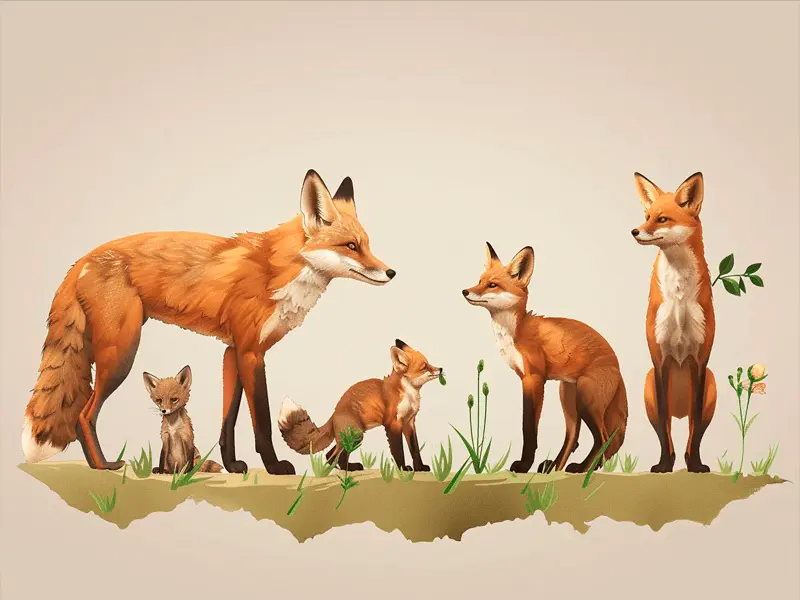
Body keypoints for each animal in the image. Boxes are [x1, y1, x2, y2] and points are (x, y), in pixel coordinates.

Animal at [21, 169, 395, 475]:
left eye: (367, 245)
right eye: (351, 246)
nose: (391, 272)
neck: (278, 272)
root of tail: (82, 259)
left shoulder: (233, 351)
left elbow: (228, 419)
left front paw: (231, 465)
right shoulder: (250, 352)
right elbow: (261, 421)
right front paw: (274, 467)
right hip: (121, 353)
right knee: (84, 415)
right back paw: (102, 466)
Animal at [277, 339, 443, 472]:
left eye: (429, 363)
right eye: (424, 367)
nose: (441, 369)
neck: (409, 394)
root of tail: (334, 413)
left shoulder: (409, 423)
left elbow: (415, 449)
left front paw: (420, 468)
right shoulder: (393, 423)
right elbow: (398, 451)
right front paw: (403, 469)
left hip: (352, 436)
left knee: (330, 455)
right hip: (356, 434)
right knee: (336, 455)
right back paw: (348, 470)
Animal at [462, 242, 628, 474]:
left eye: (492, 285)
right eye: (479, 281)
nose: (464, 291)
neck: (515, 332)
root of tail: (617, 365)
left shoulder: (534, 378)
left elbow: (529, 429)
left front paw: (524, 465)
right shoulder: (526, 379)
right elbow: (529, 426)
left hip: (586, 399)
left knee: (603, 438)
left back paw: (584, 468)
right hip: (568, 397)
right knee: (573, 437)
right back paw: (556, 467)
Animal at [630, 171, 717, 473]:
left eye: (663, 219)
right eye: (646, 215)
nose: (635, 231)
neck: (679, 298)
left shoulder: (700, 361)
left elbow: (695, 427)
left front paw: (695, 465)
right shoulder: (660, 359)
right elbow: (665, 428)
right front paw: (665, 464)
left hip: (712, 385)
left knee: (692, 425)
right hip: (648, 388)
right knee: (667, 424)